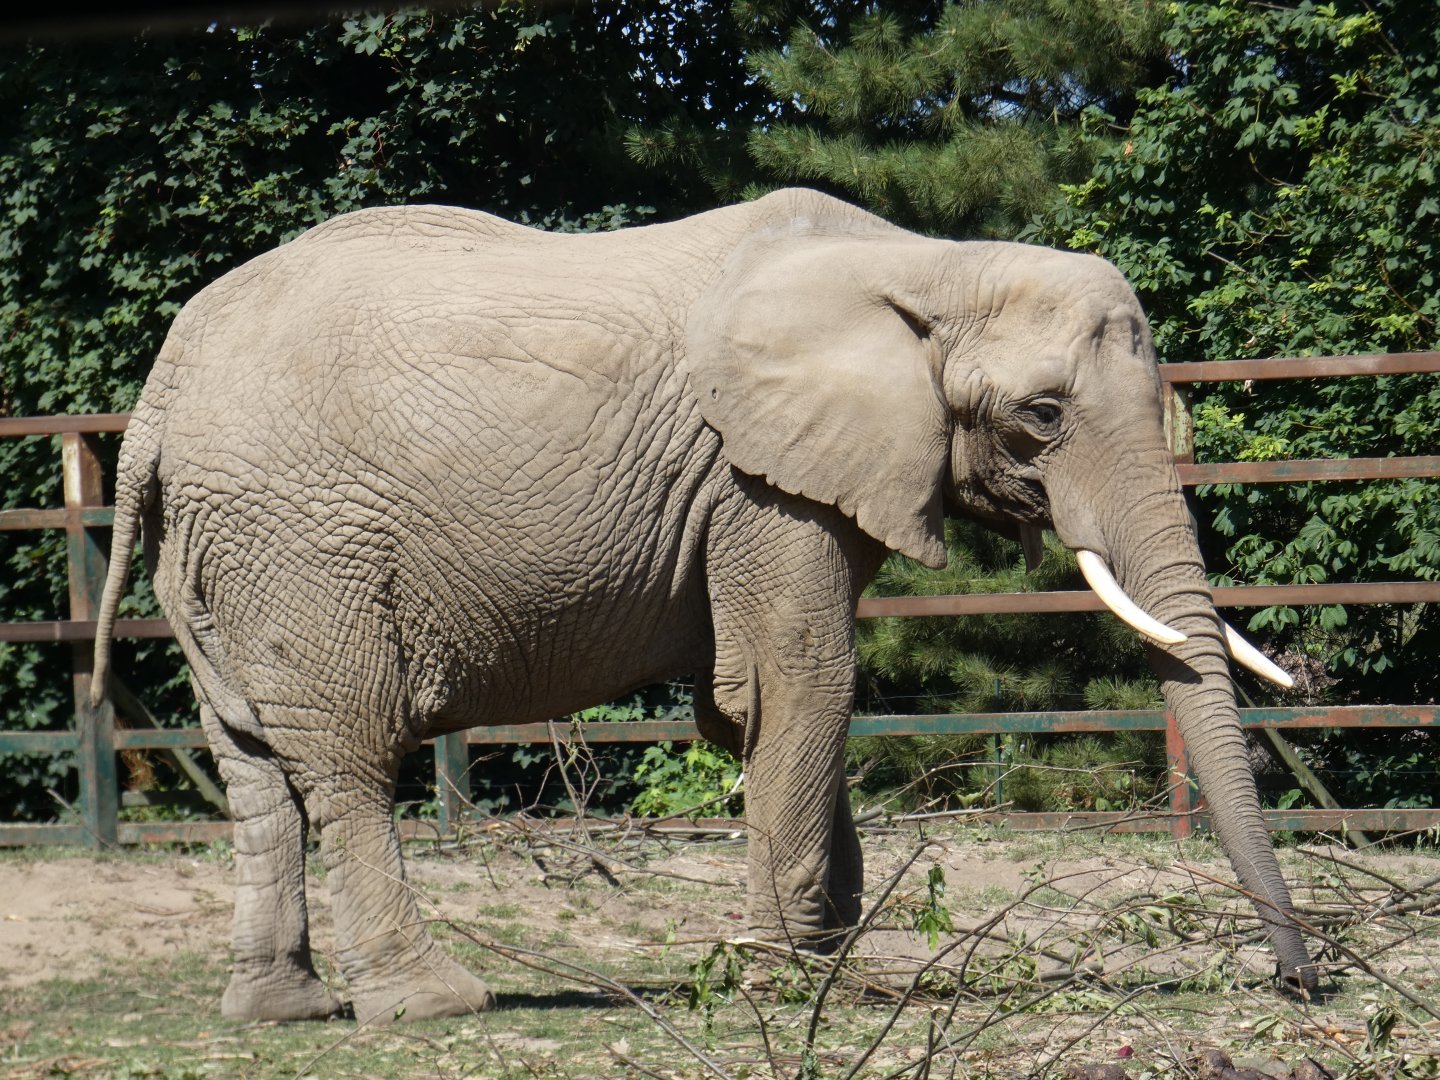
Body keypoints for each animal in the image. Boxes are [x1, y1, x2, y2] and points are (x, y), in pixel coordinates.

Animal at [90, 187, 1316, 1024]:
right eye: (1042, 416)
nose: (1303, 982)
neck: (926, 263)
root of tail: (157, 392)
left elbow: (762, 699)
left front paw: (826, 946)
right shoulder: (757, 477)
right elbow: (801, 680)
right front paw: (796, 970)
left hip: (215, 550)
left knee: (251, 762)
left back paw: (278, 1011)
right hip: (300, 540)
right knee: (344, 755)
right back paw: (436, 1003)